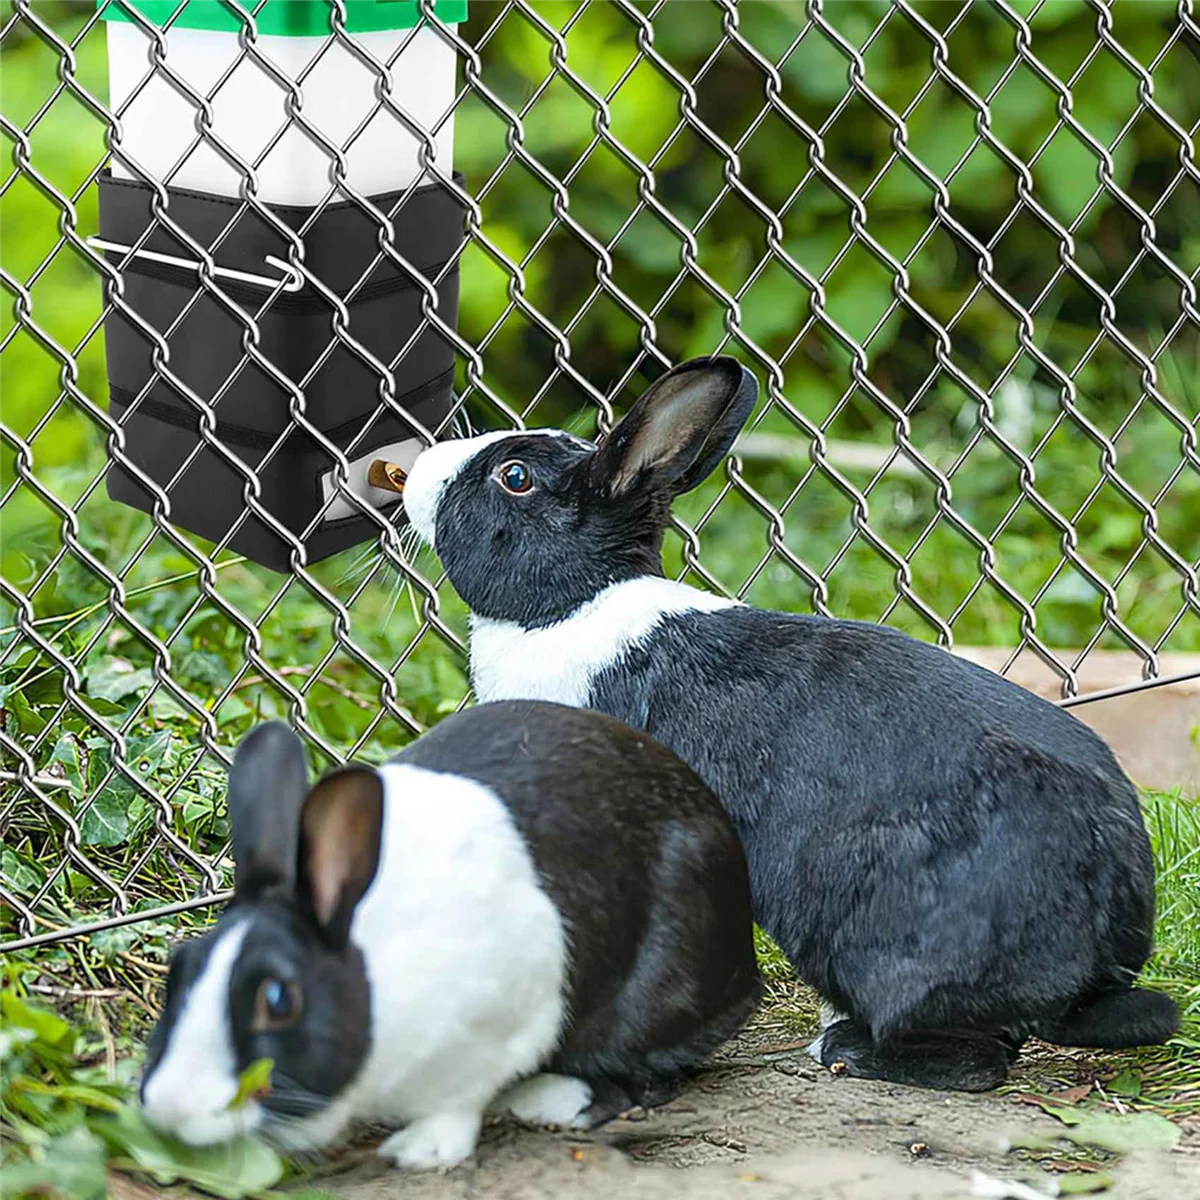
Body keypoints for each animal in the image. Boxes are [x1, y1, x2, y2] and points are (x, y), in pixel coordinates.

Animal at [138, 700, 758, 1166]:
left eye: (278, 999)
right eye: (178, 971)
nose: (169, 1107)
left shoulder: (506, 1012)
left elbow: (459, 1099)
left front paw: (421, 1151)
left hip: (662, 981)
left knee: (647, 1073)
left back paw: (550, 1101)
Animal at [405, 350, 1180, 1094]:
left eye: (514, 477)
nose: (416, 471)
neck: (567, 606)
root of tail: (1103, 948)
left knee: (972, 1057)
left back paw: (846, 1051)